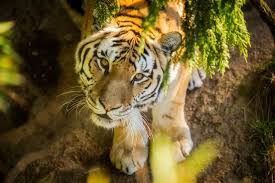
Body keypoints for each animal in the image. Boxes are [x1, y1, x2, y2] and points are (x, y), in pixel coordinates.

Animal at [63, 0, 206, 174]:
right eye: (104, 63)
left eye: (138, 76)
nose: (107, 107)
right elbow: (126, 115)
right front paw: (127, 151)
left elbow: (170, 105)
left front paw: (171, 144)